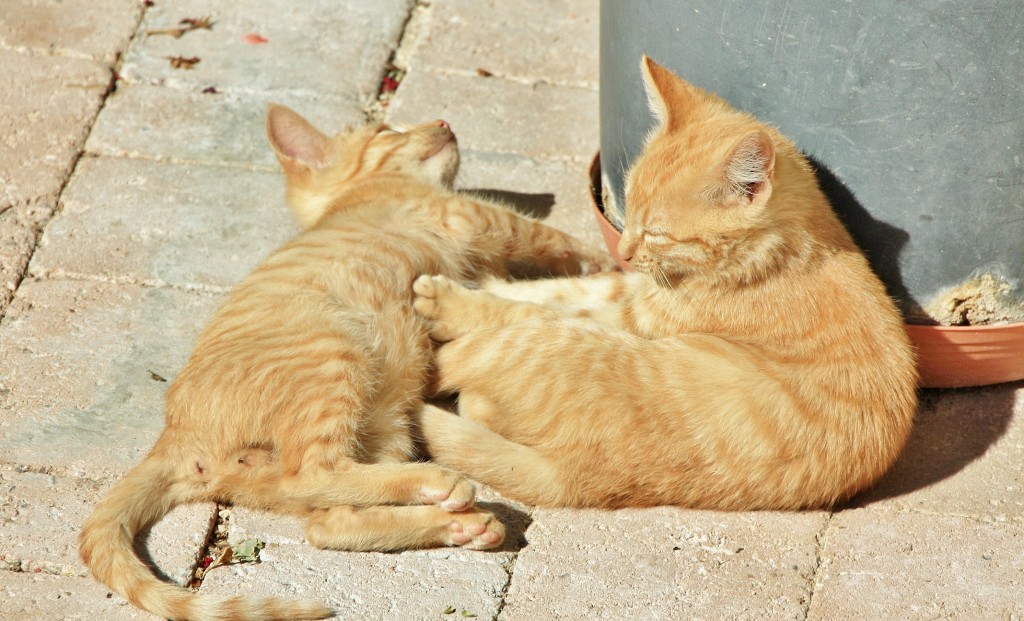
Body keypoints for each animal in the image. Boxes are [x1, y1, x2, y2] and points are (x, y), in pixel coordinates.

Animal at [79, 107, 614, 621]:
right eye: (386, 129)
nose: (443, 121)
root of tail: (175, 432)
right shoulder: (475, 218)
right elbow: (560, 242)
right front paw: (618, 264)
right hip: (335, 357)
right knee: (315, 474)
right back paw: (438, 486)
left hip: (384, 424)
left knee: (328, 523)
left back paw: (460, 524)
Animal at [411, 58, 917, 514]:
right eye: (628, 208)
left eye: (655, 232)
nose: (625, 249)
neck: (781, 251)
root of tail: (581, 478)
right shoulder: (631, 293)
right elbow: (560, 289)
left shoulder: (635, 315)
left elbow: (539, 303)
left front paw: (451, 300)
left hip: (547, 343)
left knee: (454, 370)